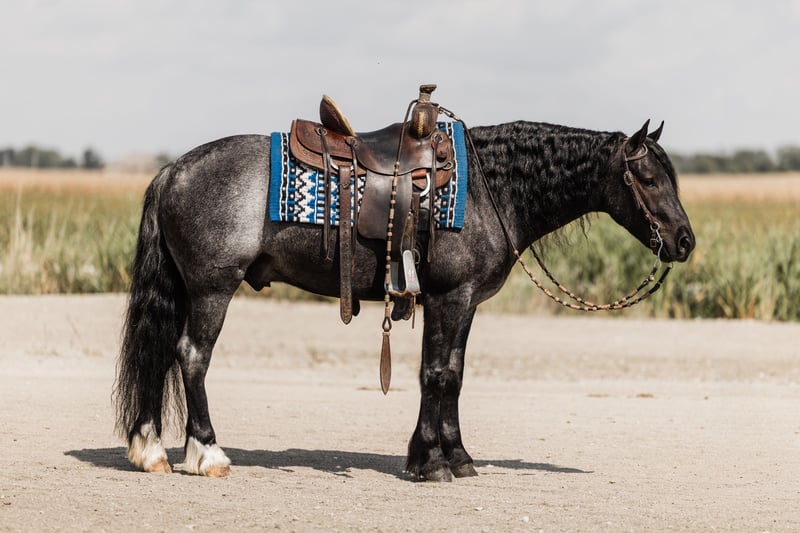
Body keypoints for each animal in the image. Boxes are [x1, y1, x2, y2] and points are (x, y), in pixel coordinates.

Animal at [113, 117, 695, 482]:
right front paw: (433, 463)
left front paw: (452, 457)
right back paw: (208, 453)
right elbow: (436, 375)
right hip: (212, 288)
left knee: (160, 352)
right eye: (647, 177)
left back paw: (150, 450)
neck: (488, 189)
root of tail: (171, 171)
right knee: (191, 356)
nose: (685, 241)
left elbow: (451, 374)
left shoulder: (463, 303)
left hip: (186, 289)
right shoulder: (449, 298)